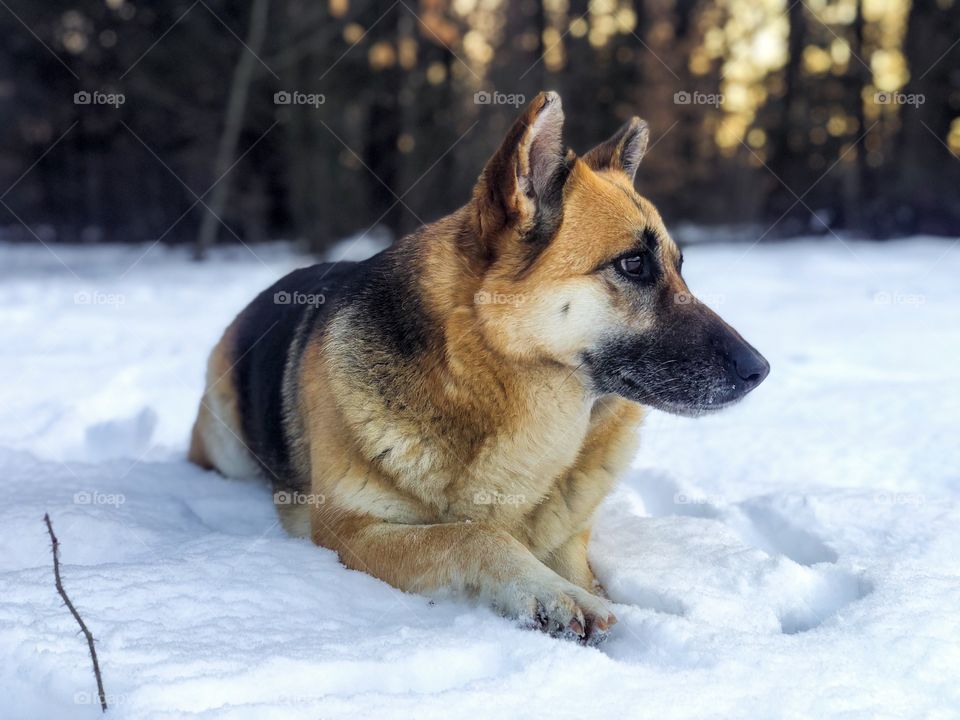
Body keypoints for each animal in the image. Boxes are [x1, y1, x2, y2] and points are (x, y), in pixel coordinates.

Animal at [191, 91, 768, 648]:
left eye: (679, 267)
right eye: (632, 264)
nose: (759, 370)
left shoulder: (568, 536)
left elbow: (580, 568)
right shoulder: (348, 530)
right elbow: (472, 533)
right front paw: (550, 593)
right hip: (227, 445)